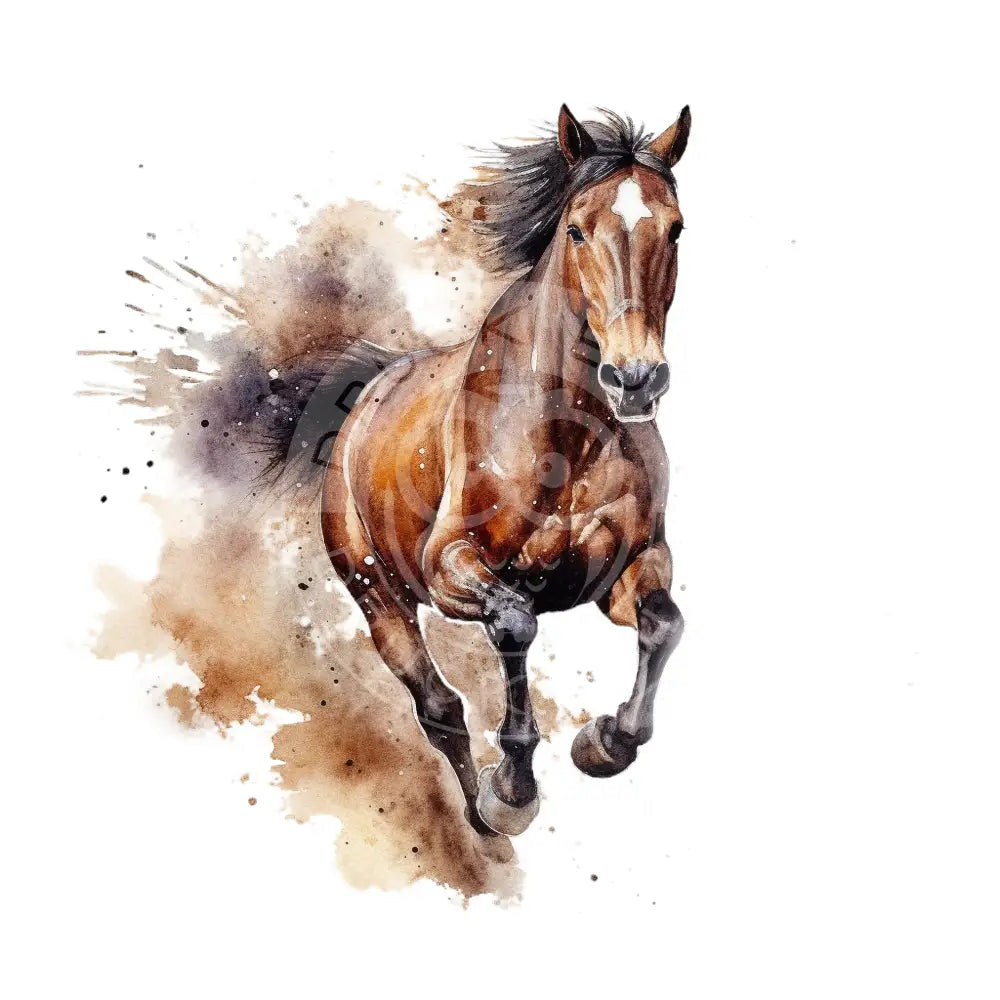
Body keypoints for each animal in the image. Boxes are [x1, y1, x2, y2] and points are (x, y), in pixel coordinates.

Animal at [317, 105, 691, 836]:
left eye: (676, 227)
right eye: (576, 229)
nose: (636, 379)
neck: (567, 439)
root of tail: (364, 402)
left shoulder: (628, 566)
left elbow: (664, 623)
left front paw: (605, 741)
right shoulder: (448, 564)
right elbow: (515, 623)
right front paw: (512, 788)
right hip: (379, 596)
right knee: (440, 706)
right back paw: (486, 820)